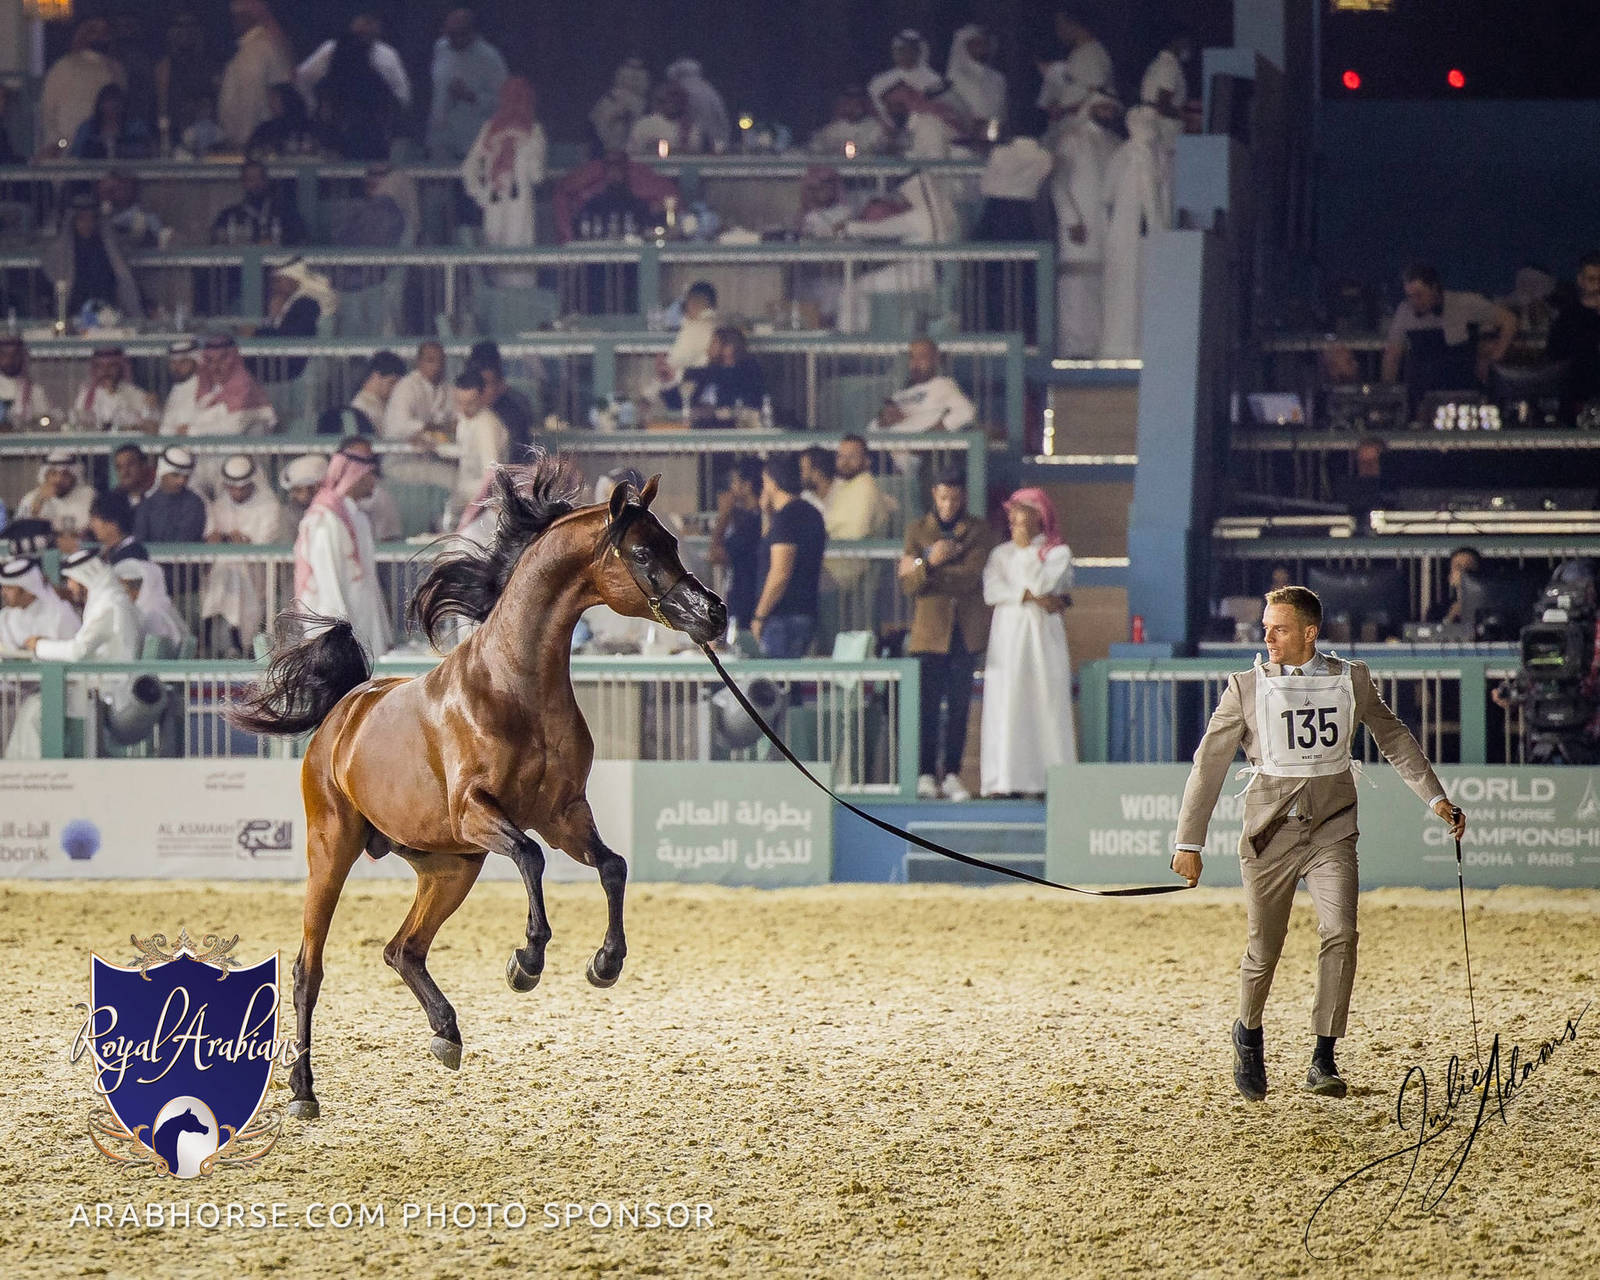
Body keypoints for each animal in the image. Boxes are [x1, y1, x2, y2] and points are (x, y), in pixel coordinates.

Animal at [227, 460, 727, 1119]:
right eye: (644, 551)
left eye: (672, 542)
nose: (714, 615)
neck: (512, 687)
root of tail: (344, 711)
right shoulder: (480, 814)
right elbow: (530, 857)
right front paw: (528, 961)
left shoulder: (564, 813)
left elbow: (612, 865)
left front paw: (605, 963)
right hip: (333, 851)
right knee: (310, 969)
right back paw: (304, 1091)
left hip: (449, 867)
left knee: (404, 949)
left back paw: (446, 1033)